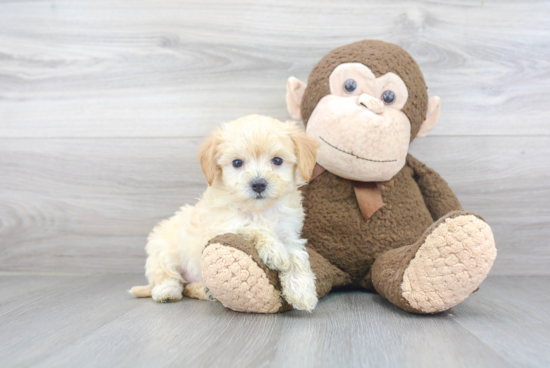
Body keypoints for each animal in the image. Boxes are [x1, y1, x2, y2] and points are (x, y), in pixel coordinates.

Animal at [132, 114, 322, 310]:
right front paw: (274, 250)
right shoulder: (224, 225)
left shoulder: (289, 234)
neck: (259, 210)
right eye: (237, 163)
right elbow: (254, 227)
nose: (258, 184)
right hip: (162, 251)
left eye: (277, 161)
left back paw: (205, 292)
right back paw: (167, 292)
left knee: (188, 287)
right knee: (167, 278)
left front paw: (302, 292)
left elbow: (297, 257)